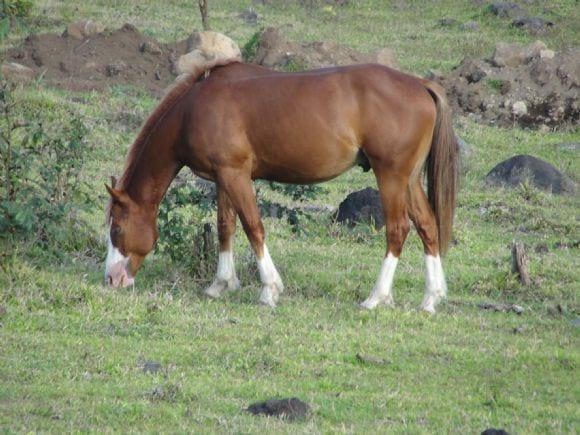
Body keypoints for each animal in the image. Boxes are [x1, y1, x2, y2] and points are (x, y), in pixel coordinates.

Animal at [105, 57, 458, 314]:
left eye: (117, 229)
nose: (111, 279)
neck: (195, 107)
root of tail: (420, 85)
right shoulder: (223, 177)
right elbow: (225, 226)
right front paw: (221, 284)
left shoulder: (235, 175)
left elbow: (253, 227)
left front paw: (269, 290)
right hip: (408, 180)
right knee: (428, 226)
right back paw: (431, 298)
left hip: (391, 177)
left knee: (397, 230)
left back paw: (376, 298)